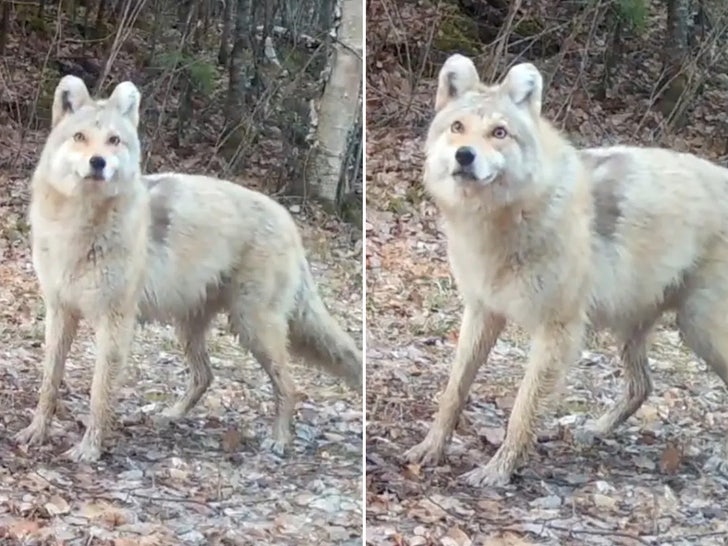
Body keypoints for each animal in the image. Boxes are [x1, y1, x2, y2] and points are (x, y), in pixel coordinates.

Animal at [15, 75, 362, 462]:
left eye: (114, 140)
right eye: (80, 137)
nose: (98, 162)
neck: (79, 226)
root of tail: (288, 220)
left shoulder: (116, 323)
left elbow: (98, 393)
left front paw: (89, 449)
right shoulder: (59, 312)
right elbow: (49, 382)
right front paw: (36, 432)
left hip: (252, 327)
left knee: (289, 385)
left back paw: (279, 441)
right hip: (192, 327)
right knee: (206, 376)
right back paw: (170, 416)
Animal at [404, 53, 728, 487]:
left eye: (499, 133)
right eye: (457, 128)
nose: (464, 156)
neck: (503, 221)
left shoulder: (557, 331)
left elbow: (522, 411)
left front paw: (498, 471)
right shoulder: (482, 313)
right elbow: (453, 391)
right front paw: (431, 448)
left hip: (699, 329)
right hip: (633, 329)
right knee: (642, 386)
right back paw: (594, 430)